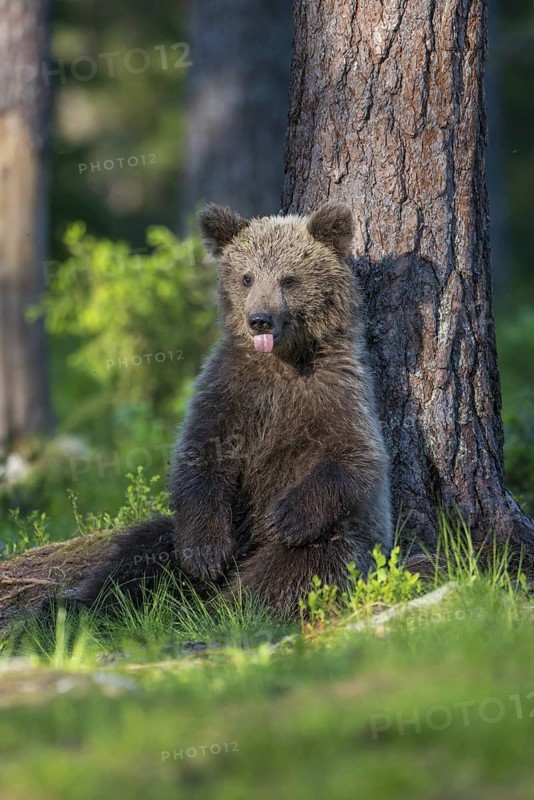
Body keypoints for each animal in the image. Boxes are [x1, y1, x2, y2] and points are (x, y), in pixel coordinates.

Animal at [75, 202, 392, 618]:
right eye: (246, 277)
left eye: (289, 279)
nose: (259, 319)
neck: (282, 363)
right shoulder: (229, 391)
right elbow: (199, 458)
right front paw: (206, 554)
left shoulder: (336, 389)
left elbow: (356, 458)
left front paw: (285, 517)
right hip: (177, 537)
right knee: (136, 555)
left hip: (336, 542)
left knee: (297, 567)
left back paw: (226, 608)